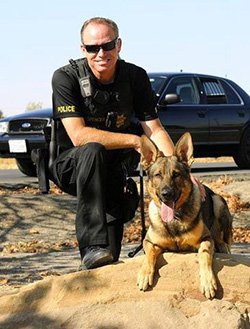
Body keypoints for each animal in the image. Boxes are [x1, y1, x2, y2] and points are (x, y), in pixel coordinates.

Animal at [137, 131, 232, 298]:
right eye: (157, 175)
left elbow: (204, 255)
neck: (174, 220)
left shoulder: (206, 239)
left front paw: (208, 281)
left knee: (223, 240)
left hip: (218, 202)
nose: (166, 194)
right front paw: (144, 274)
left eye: (176, 175)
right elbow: (149, 255)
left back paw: (222, 245)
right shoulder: (149, 242)